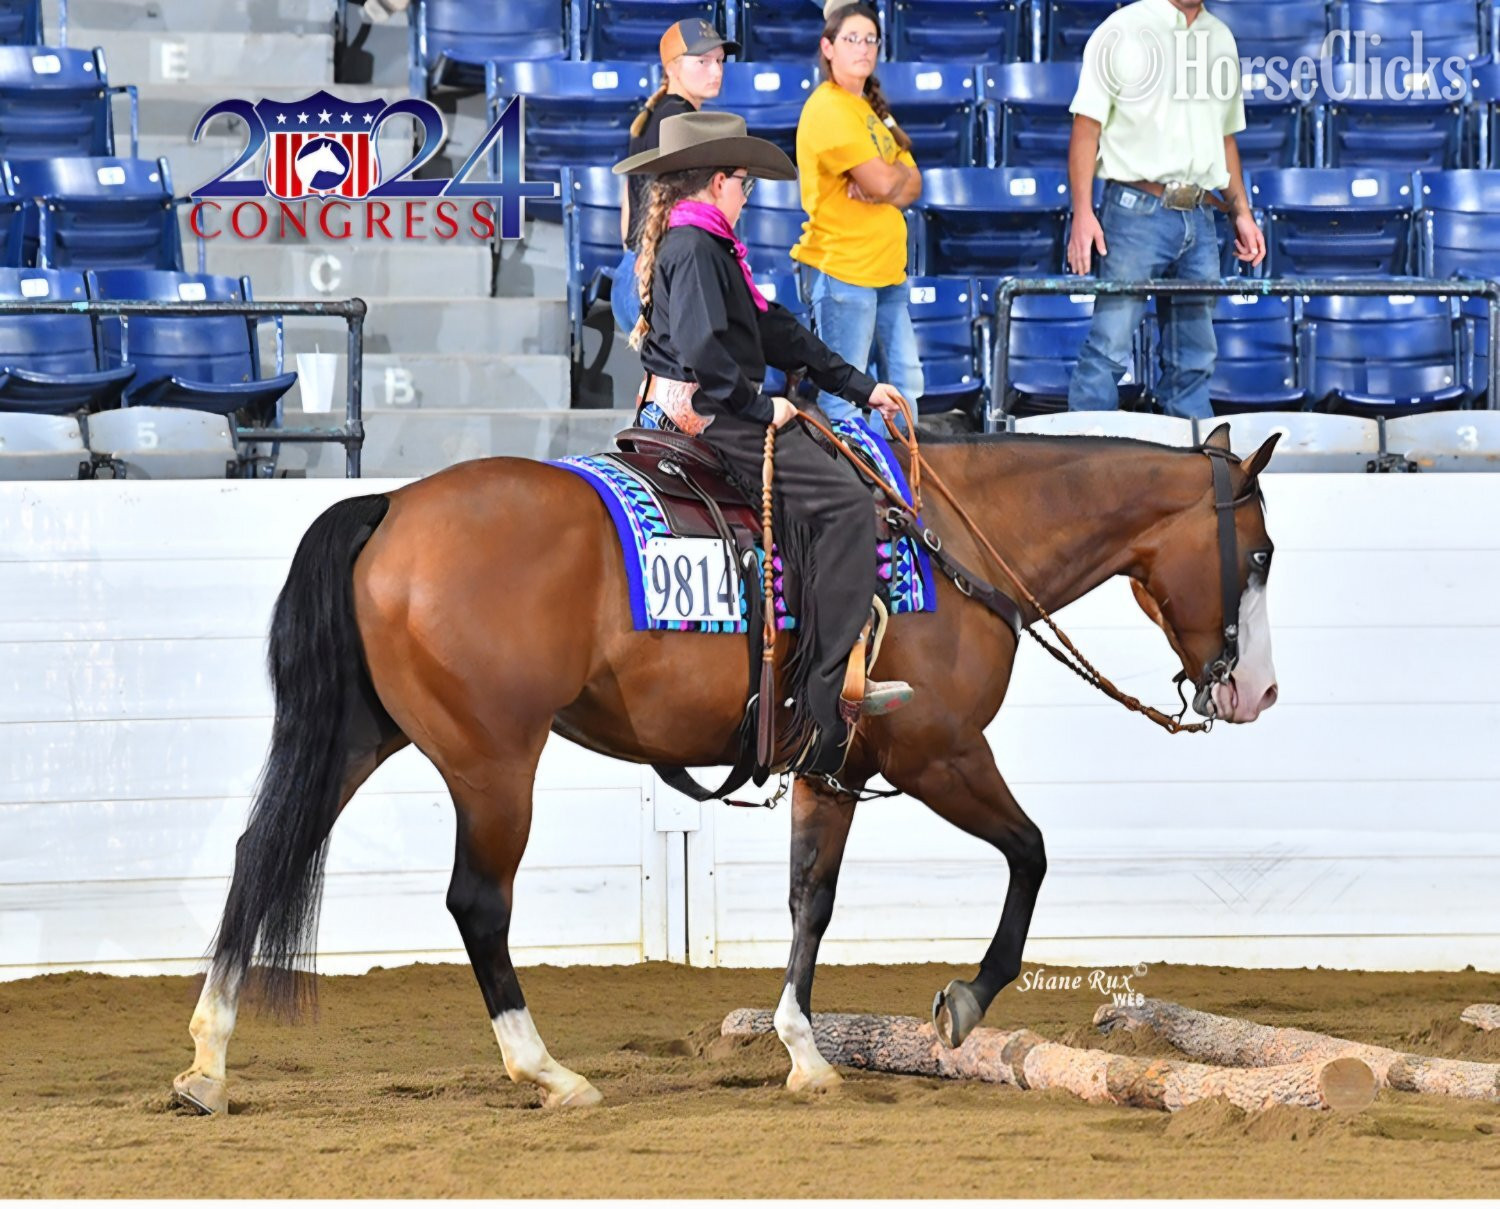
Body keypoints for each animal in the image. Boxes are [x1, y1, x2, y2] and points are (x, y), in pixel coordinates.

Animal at [171, 421, 1280, 1114]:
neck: (947, 543)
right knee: (477, 902)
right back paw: (548, 1072)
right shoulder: (940, 749)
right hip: (494, 762)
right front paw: (964, 1002)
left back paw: (208, 1063)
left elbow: (809, 900)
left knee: (260, 852)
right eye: (1260, 554)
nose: (1258, 693)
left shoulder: (832, 770)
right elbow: (1032, 854)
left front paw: (803, 1052)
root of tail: (394, 506)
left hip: (359, 738)